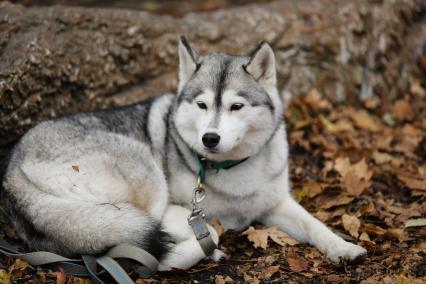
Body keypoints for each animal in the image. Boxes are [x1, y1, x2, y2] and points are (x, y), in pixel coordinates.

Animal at [1, 36, 366, 270]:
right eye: (202, 105)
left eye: (236, 106)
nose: (210, 138)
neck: (232, 169)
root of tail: (12, 168)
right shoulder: (180, 212)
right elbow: (212, 231)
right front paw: (194, 251)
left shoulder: (276, 203)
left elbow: (314, 224)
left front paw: (342, 247)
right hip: (142, 178)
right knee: (127, 237)